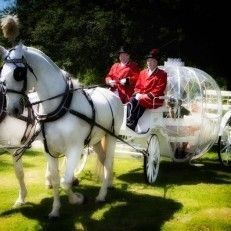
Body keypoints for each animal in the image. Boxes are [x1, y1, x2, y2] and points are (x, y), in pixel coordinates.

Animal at [0, 43, 124, 218]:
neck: (61, 107)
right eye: (2, 75)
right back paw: (110, 184)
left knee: (107, 161)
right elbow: (57, 180)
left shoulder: (74, 149)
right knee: (103, 158)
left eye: (18, 74)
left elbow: (66, 181)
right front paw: (55, 210)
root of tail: (111, 94)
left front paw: (77, 199)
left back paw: (102, 194)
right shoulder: (49, 149)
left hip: (112, 135)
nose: (12, 110)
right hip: (96, 139)